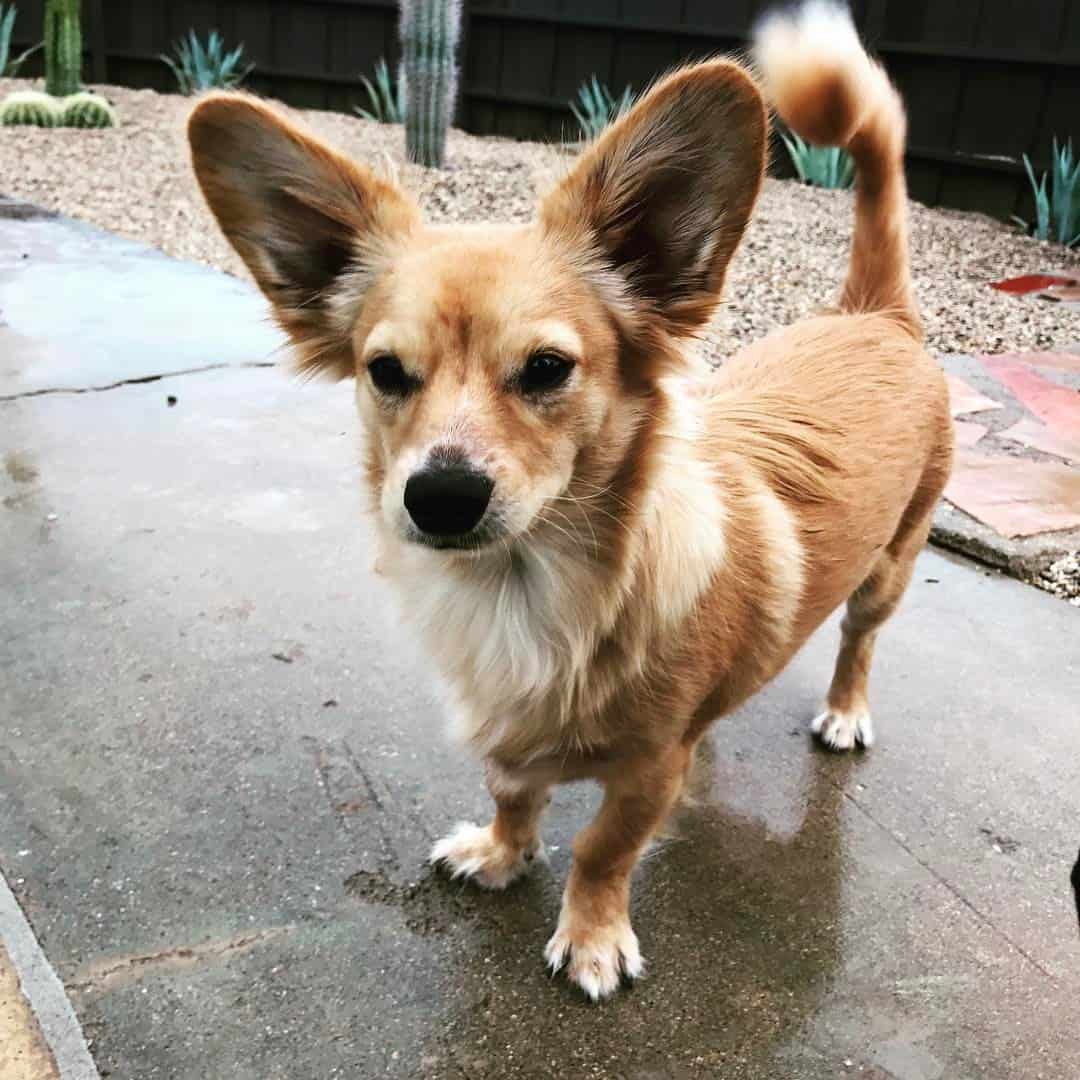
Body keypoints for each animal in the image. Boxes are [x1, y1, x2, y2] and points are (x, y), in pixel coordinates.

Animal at [190, 0, 950, 997]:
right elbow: (513, 794)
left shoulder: (647, 774)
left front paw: (592, 936)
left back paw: (846, 711)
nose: (439, 497)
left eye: (548, 369)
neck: (524, 591)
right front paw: (503, 854)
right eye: (385, 372)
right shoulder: (509, 741)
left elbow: (601, 848)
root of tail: (875, 315)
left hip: (891, 568)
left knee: (860, 642)